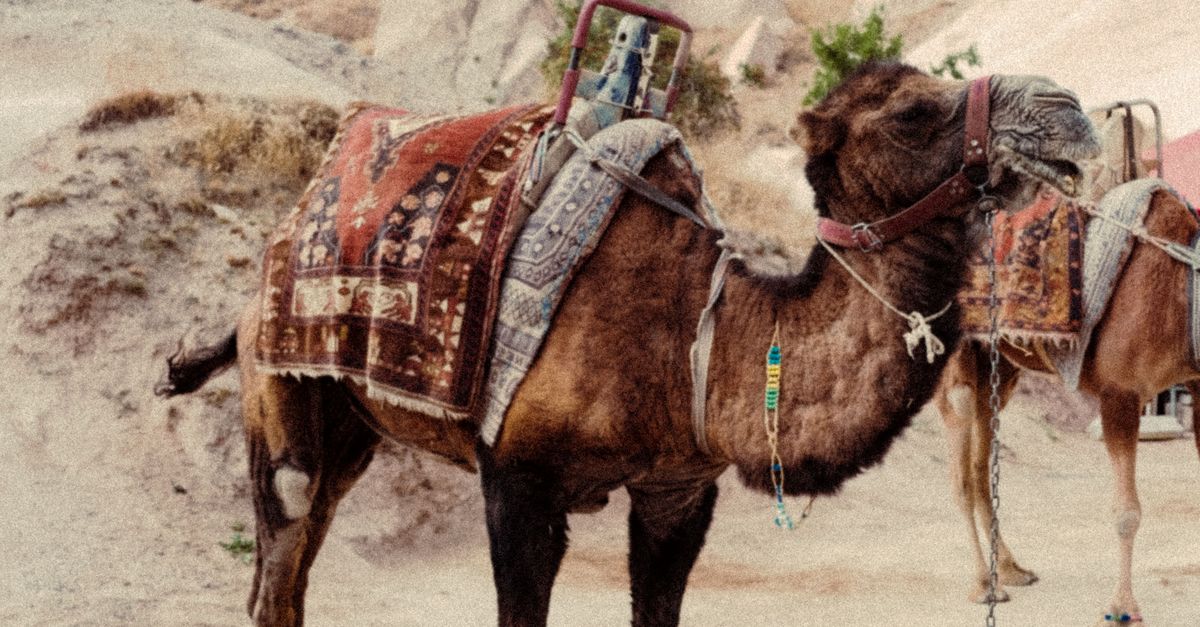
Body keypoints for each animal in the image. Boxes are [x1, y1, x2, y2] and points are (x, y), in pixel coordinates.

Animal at [158, 62, 1099, 626]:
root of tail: (257, 282)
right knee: (280, 559)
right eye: (911, 111)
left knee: (292, 561)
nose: (1070, 111)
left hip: (352, 427)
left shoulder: (678, 490)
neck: (695, 336)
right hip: (285, 397)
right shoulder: (518, 477)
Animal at [934, 109, 1200, 624]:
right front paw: (1122, 607)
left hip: (999, 368)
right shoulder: (1120, 394)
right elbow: (1126, 512)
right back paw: (983, 585)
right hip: (951, 362)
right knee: (959, 471)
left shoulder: (1199, 387)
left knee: (981, 464)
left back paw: (1012, 569)